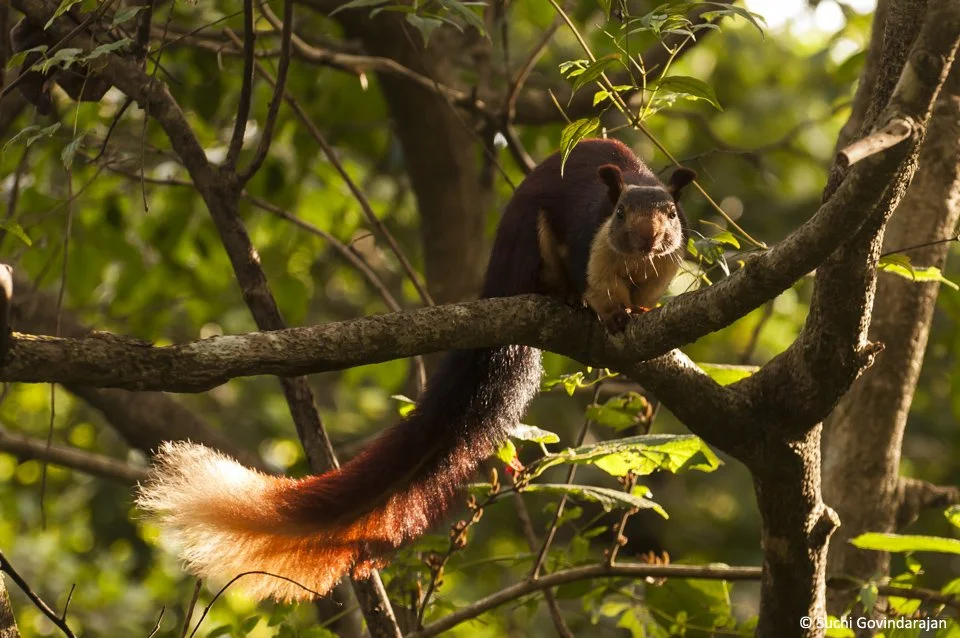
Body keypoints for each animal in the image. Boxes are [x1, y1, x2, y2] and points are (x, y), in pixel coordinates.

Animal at [137, 138, 696, 602]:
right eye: (620, 212)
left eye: (671, 214)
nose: (646, 237)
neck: (635, 262)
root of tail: (495, 278)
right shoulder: (592, 245)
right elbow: (600, 290)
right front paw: (611, 314)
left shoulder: (664, 265)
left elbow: (648, 295)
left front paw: (639, 310)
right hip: (527, 246)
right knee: (545, 277)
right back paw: (560, 297)